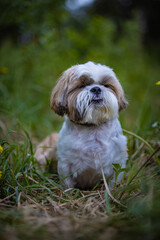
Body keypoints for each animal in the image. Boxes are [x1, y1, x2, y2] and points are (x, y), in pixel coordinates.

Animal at [34, 61, 127, 189]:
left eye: (106, 85)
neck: (93, 126)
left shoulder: (118, 162)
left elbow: (114, 182)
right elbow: (67, 183)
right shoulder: (65, 164)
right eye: (81, 85)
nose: (96, 88)